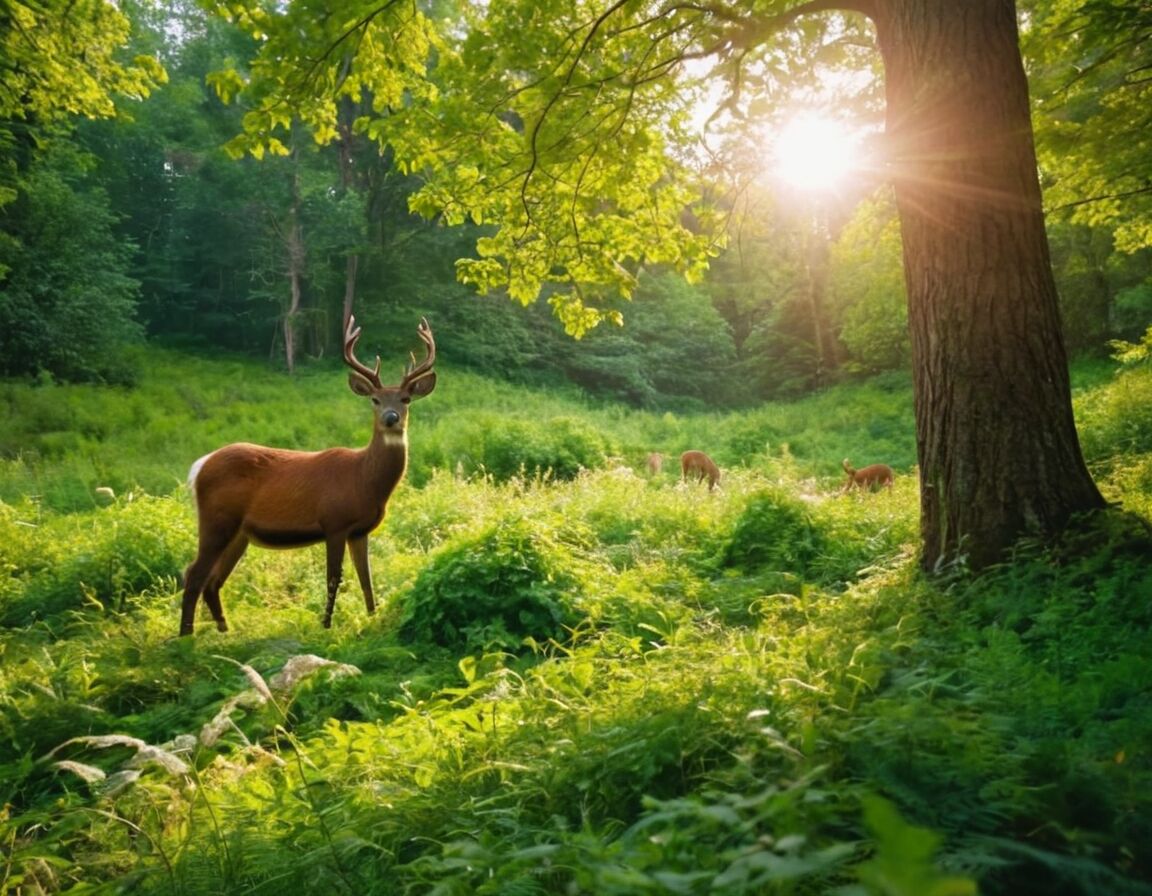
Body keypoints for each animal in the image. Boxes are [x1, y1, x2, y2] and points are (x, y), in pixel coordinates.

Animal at [179, 313, 435, 635]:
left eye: (406, 399)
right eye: (375, 400)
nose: (392, 418)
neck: (364, 480)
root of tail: (199, 466)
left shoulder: (360, 530)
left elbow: (367, 579)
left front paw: (372, 618)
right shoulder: (335, 521)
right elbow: (333, 577)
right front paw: (325, 625)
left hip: (238, 533)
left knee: (212, 582)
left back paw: (225, 633)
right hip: (216, 519)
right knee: (193, 574)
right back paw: (186, 636)